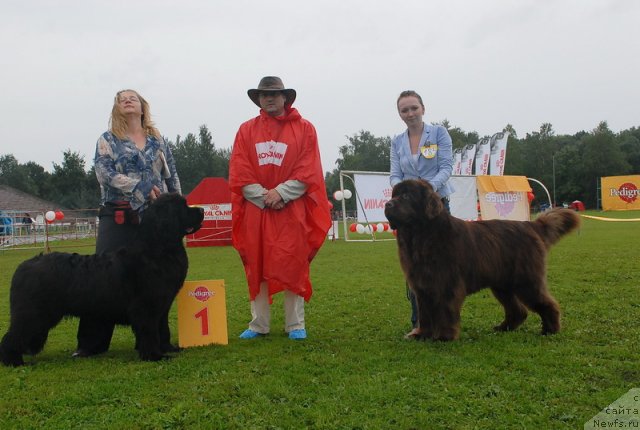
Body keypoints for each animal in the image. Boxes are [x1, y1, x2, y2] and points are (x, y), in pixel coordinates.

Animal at [0, 193, 204, 364]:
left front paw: (167, 349)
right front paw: (154, 356)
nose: (202, 210)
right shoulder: (146, 307)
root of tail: (24, 265)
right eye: (183, 207)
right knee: (13, 335)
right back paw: (13, 361)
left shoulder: (161, 306)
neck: (157, 249)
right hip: (34, 312)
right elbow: (149, 331)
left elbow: (161, 328)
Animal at [382, 180, 584, 340]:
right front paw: (421, 334)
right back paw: (504, 328)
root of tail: (531, 225)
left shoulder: (447, 283)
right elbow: (425, 313)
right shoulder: (423, 286)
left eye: (406, 196)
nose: (387, 204)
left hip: (526, 280)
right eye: (395, 194)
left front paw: (444, 336)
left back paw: (550, 330)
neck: (420, 237)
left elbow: (445, 310)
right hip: (502, 284)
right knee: (518, 310)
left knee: (546, 303)